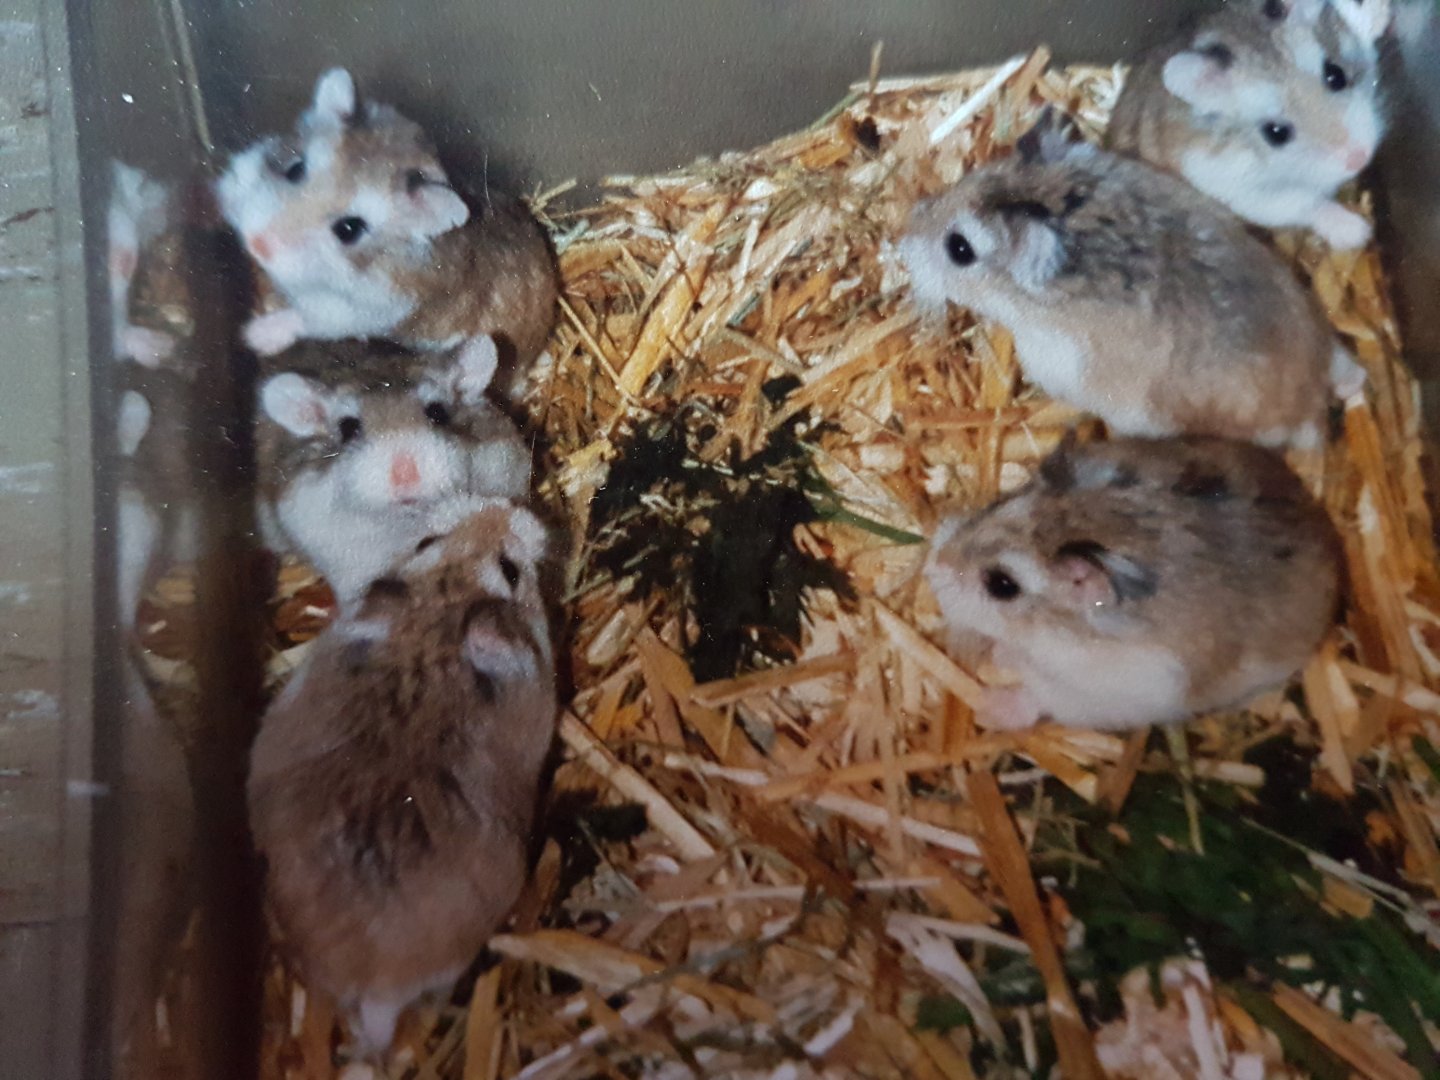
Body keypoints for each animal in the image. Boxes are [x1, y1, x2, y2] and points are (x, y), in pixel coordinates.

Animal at [216, 68, 558, 398]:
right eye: (295, 169)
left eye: (349, 229)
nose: (256, 245)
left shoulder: (352, 313)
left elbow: (303, 319)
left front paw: (252, 335)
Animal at [923, 434, 1341, 731]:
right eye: (995, 505)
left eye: (1002, 585)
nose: (933, 569)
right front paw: (1001, 654)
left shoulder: (1102, 692)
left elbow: (1039, 695)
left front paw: (989, 709)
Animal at [1106, 0, 1390, 249]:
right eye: (1275, 133)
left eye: (1336, 75)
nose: (1361, 159)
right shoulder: (1242, 191)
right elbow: (1305, 203)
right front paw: (1359, 233)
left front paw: (1381, 11)